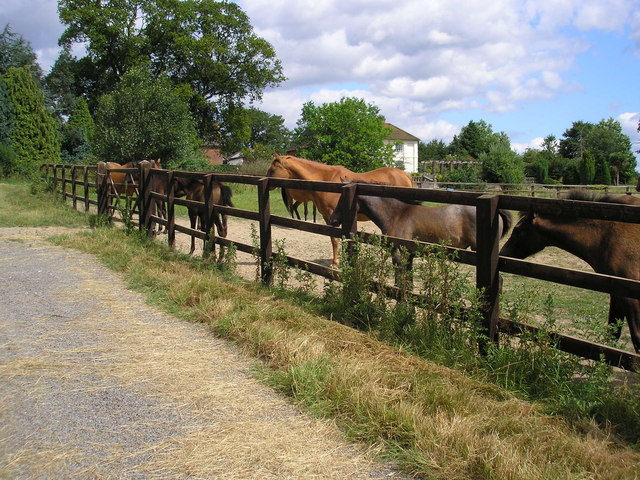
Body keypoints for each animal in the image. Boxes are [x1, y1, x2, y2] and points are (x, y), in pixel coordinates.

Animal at [266, 154, 412, 266]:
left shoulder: (334, 216)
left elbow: (337, 239)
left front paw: (336, 263)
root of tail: (405, 175)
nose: (266, 182)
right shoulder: (328, 217)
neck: (326, 179)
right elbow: (333, 239)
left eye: (272, 170)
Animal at [500, 188, 640, 352]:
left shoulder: (631, 297)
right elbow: (613, 333)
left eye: (518, 230)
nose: (502, 252)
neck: (606, 236)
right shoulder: (617, 292)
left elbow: (636, 338)